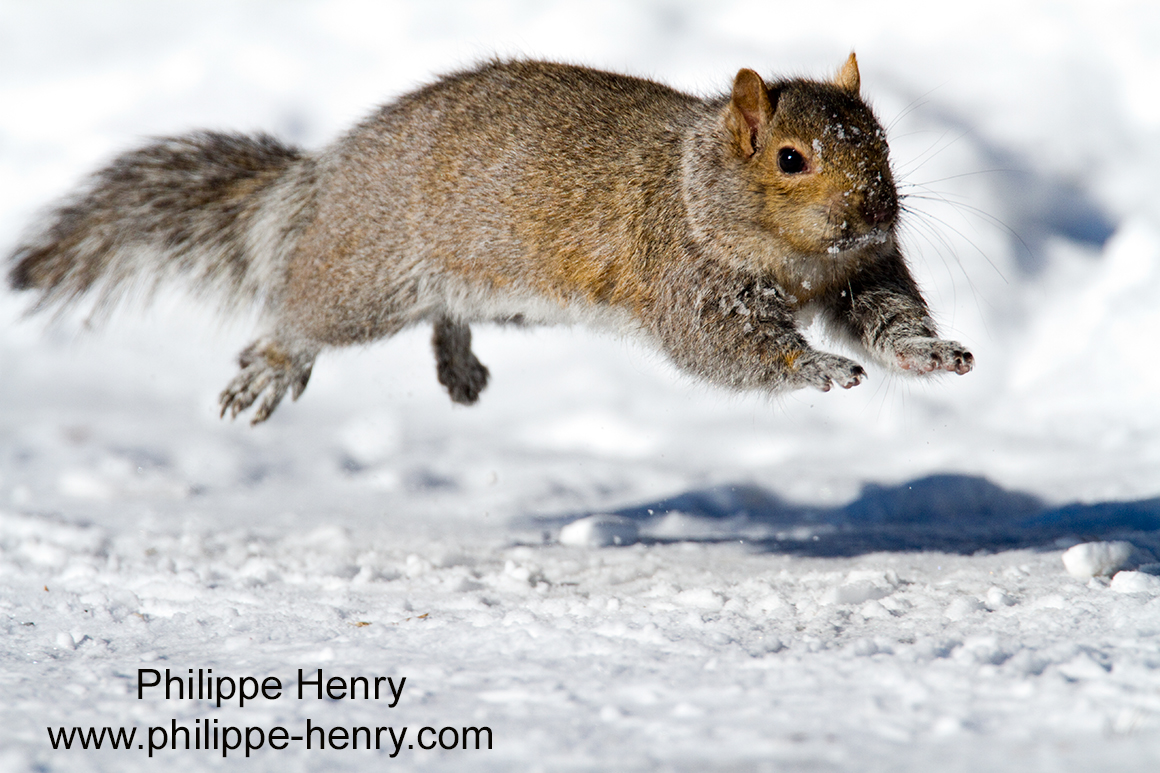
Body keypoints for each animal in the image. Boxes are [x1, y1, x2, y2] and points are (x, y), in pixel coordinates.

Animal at [7, 54, 972, 424]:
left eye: (881, 140)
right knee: (300, 314)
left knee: (447, 315)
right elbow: (728, 346)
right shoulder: (685, 273)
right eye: (790, 157)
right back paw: (271, 366)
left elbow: (887, 315)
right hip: (367, 275)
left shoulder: (861, 271)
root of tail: (324, 178)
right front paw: (814, 365)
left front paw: (930, 352)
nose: (876, 212)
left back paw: (458, 365)